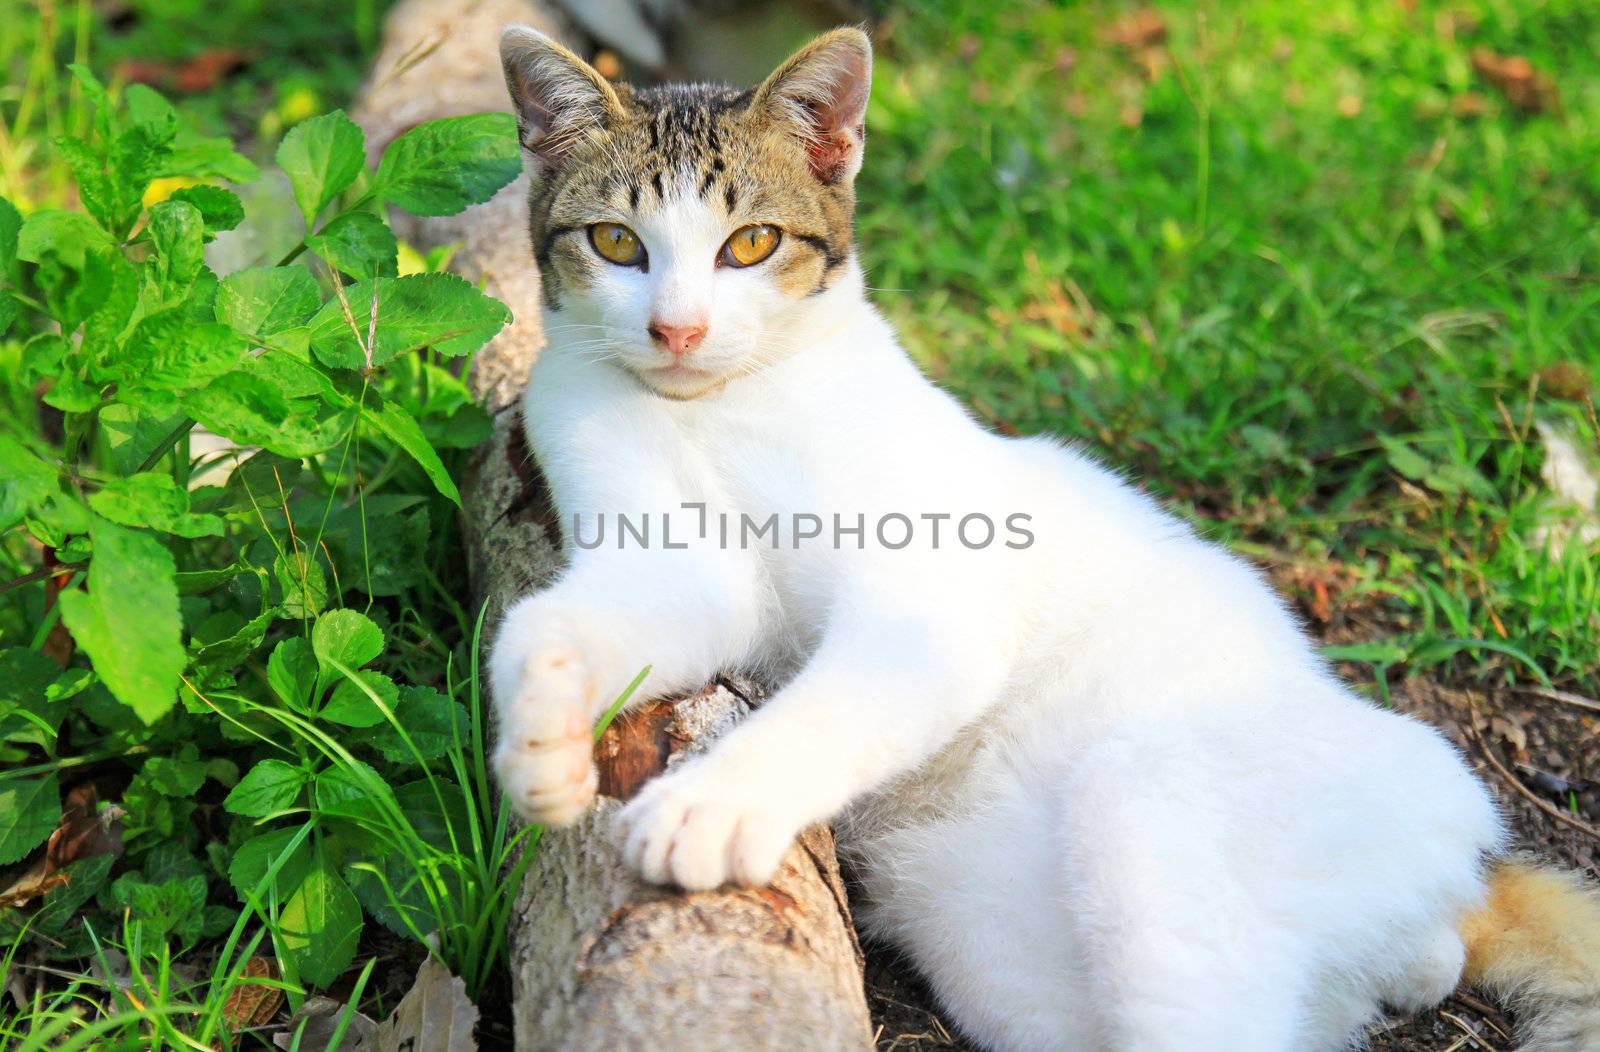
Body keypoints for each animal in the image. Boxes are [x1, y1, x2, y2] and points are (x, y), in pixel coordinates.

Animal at [483, 24, 1600, 1048]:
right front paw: (541, 734)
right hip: (1008, 962)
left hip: (1155, 802)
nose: (677, 330)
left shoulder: (932, 603)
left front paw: (710, 806)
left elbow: (832, 699)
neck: (716, 408)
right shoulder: (680, 562)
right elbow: (561, 622)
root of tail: (1471, 859)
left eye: (748, 244)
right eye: (618, 244)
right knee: (1392, 969)